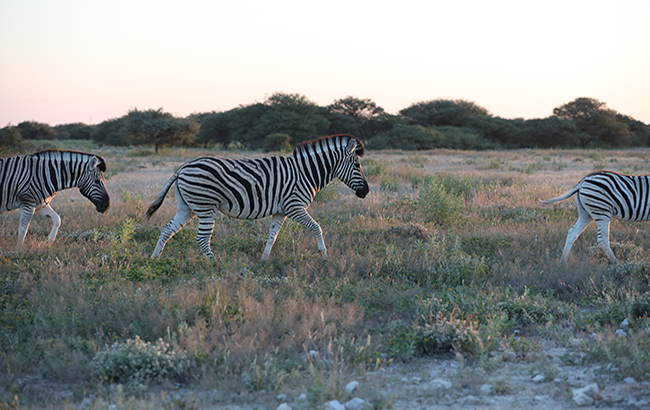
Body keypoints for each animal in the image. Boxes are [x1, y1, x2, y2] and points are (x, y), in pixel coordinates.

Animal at [147, 136, 370, 262]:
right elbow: (317, 227)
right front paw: (324, 256)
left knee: (167, 229)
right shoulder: (294, 206)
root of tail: (182, 167)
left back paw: (154, 259)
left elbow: (272, 236)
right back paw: (215, 264)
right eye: (357, 165)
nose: (366, 192)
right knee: (202, 238)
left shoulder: (281, 211)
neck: (306, 172)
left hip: (188, 207)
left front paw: (264, 260)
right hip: (206, 207)